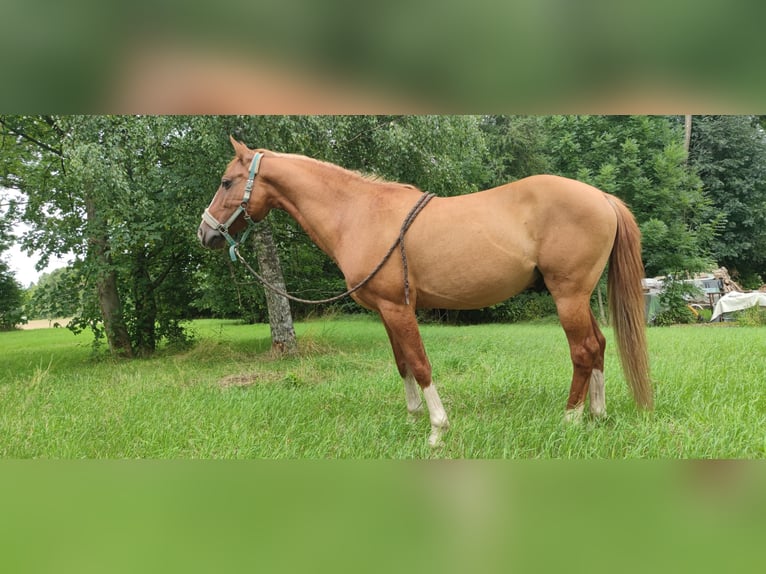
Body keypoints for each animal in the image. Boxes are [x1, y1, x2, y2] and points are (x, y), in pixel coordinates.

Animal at [198, 137, 652, 447]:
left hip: (567, 296)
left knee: (582, 350)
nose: (205, 233)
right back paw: (597, 413)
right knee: (598, 345)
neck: (360, 213)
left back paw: (571, 419)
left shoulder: (399, 308)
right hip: (578, 297)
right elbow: (401, 363)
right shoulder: (385, 311)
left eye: (226, 181)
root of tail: (602, 197)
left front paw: (437, 429)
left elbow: (419, 363)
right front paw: (413, 418)